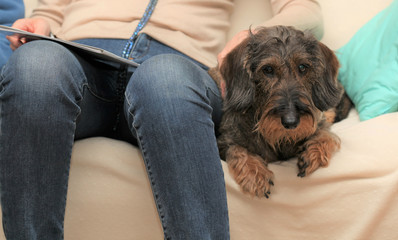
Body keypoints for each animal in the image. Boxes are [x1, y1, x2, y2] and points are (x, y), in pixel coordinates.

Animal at [211, 26, 352, 199]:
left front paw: (313, 152)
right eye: (268, 69)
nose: (291, 122)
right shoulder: (224, 141)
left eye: (303, 67)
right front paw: (254, 173)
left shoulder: (319, 123)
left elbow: (326, 134)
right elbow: (238, 150)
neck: (282, 138)